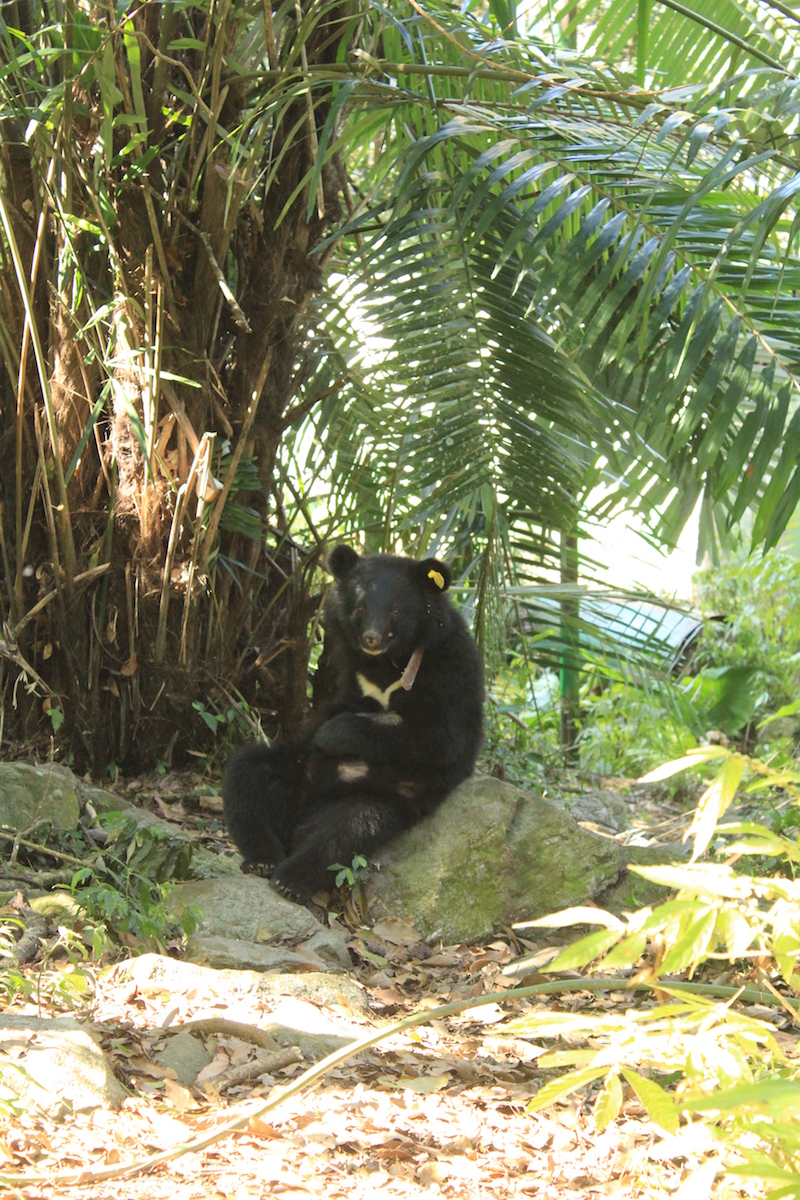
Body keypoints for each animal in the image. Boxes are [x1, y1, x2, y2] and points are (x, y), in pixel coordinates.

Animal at [222, 544, 485, 900]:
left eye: (396, 610)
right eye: (360, 607)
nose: (371, 638)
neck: (388, 662)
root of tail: (306, 802)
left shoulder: (450, 668)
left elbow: (438, 737)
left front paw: (333, 733)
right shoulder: (350, 671)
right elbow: (336, 706)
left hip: (378, 797)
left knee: (344, 834)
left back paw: (290, 878)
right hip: (290, 768)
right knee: (248, 778)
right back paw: (263, 860)